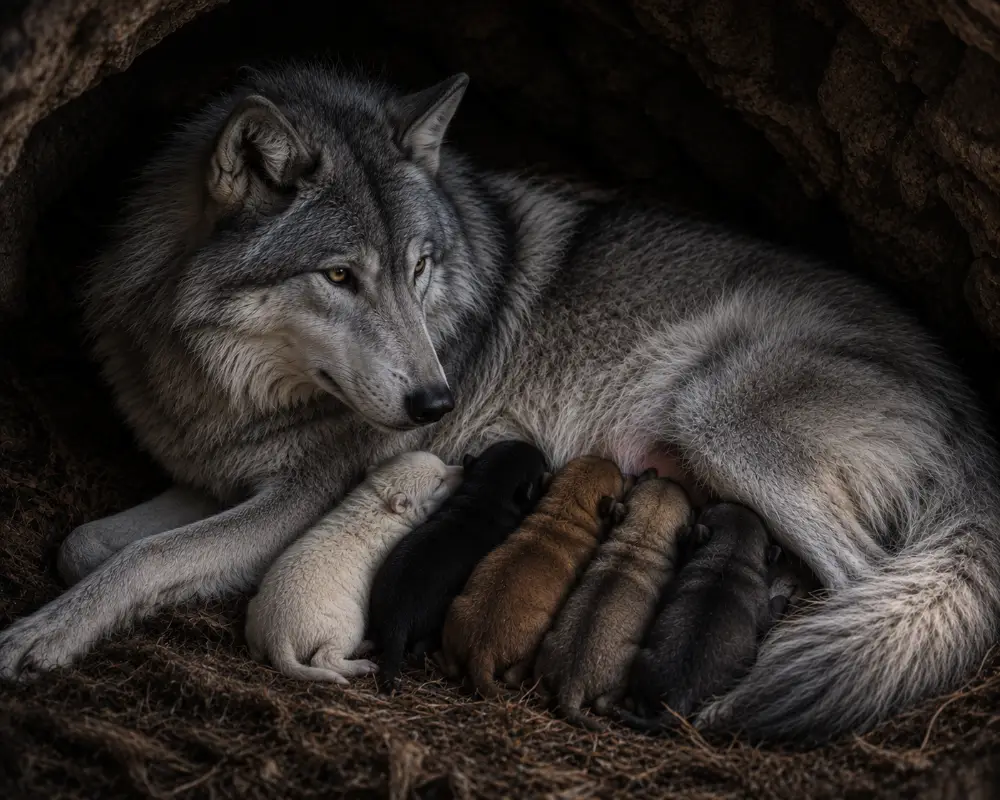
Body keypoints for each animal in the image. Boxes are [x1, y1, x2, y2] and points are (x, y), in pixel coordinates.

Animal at [1, 63, 998, 744]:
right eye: (339, 277)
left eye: (417, 270)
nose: (436, 399)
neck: (225, 383)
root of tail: (972, 404)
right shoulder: (219, 479)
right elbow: (85, 544)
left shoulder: (290, 505)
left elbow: (146, 561)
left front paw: (40, 638)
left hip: (718, 422)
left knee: (863, 578)